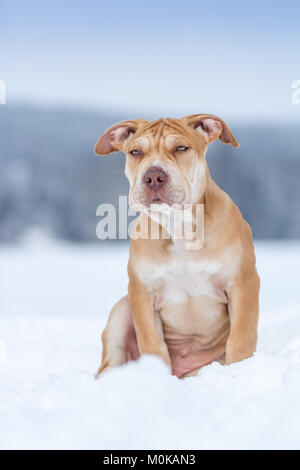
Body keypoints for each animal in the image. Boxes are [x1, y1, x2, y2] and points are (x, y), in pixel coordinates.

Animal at [94, 115, 260, 380]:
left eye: (181, 148)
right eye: (135, 152)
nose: (153, 176)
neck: (178, 226)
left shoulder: (243, 283)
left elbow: (241, 337)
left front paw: (239, 372)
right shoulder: (142, 293)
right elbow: (153, 343)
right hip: (121, 310)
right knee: (110, 360)